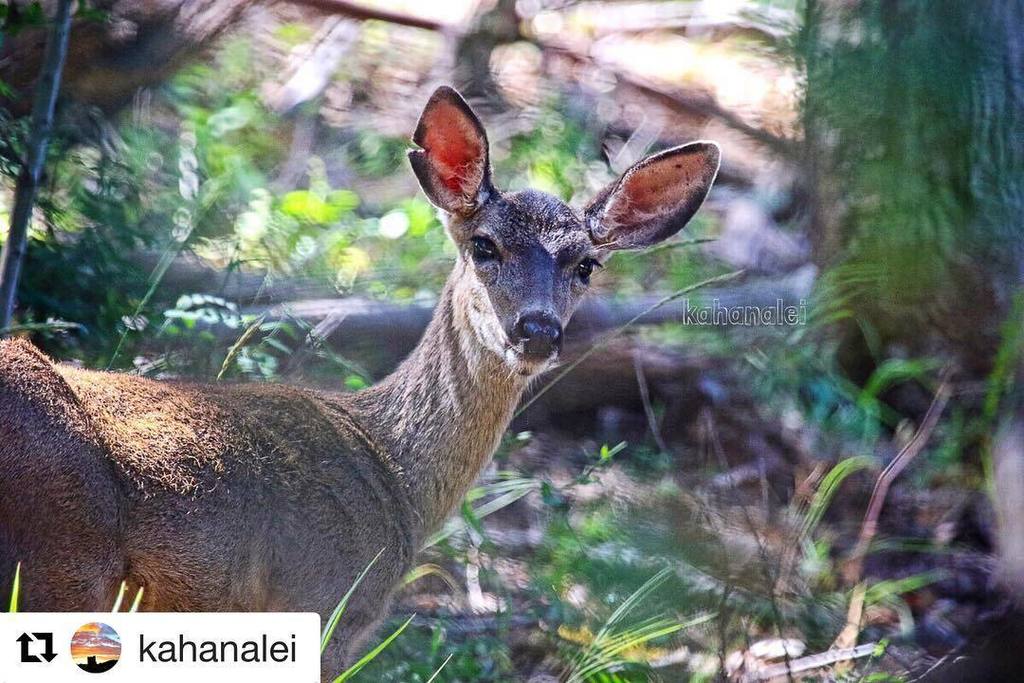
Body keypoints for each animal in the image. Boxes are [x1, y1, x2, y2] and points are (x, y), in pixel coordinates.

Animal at [0, 86, 719, 678]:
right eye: (484, 245)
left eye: (587, 265)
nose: (537, 329)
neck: (394, 474)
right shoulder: (322, 604)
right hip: (61, 553)